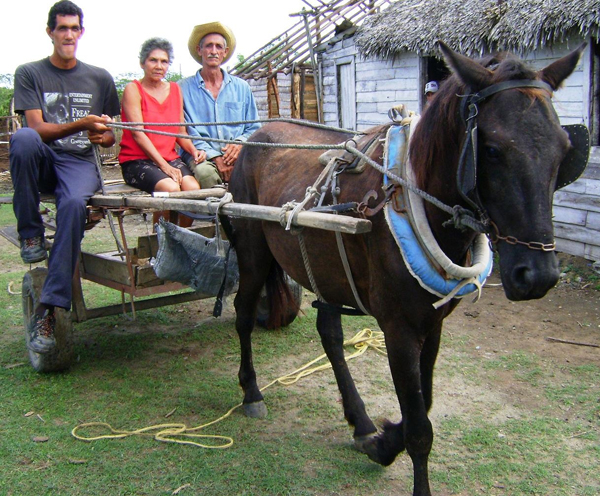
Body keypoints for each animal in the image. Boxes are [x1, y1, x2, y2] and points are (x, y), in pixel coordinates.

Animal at [224, 42, 584, 496]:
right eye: (492, 149)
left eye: (564, 149)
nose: (538, 275)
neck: (412, 199)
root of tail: (253, 137)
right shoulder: (398, 329)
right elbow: (419, 429)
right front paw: (396, 449)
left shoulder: (432, 324)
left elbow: (422, 405)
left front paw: (381, 441)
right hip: (253, 253)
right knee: (242, 313)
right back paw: (251, 391)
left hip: (326, 268)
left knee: (329, 333)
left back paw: (359, 421)